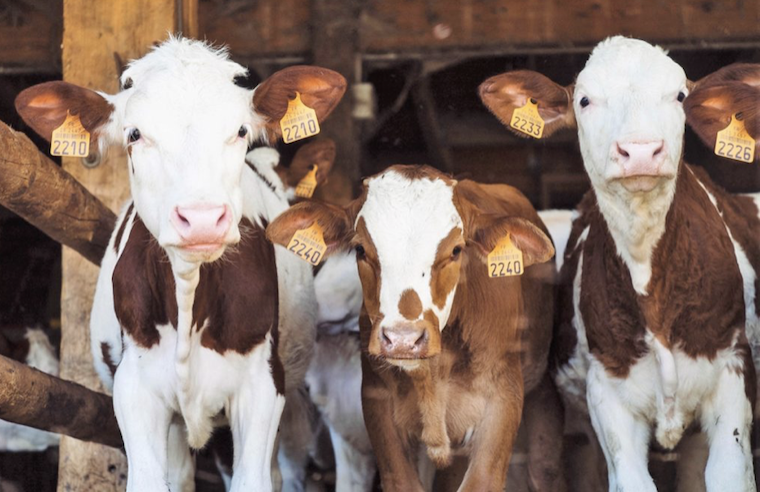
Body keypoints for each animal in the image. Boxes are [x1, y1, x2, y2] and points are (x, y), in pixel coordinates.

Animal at [15, 37, 346, 492]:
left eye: (240, 130)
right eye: (135, 133)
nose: (201, 218)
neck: (189, 299)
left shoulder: (262, 385)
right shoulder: (134, 388)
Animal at [479, 35, 760, 492]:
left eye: (680, 96)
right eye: (585, 100)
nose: (641, 150)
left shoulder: (732, 369)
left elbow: (728, 474)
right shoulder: (608, 395)